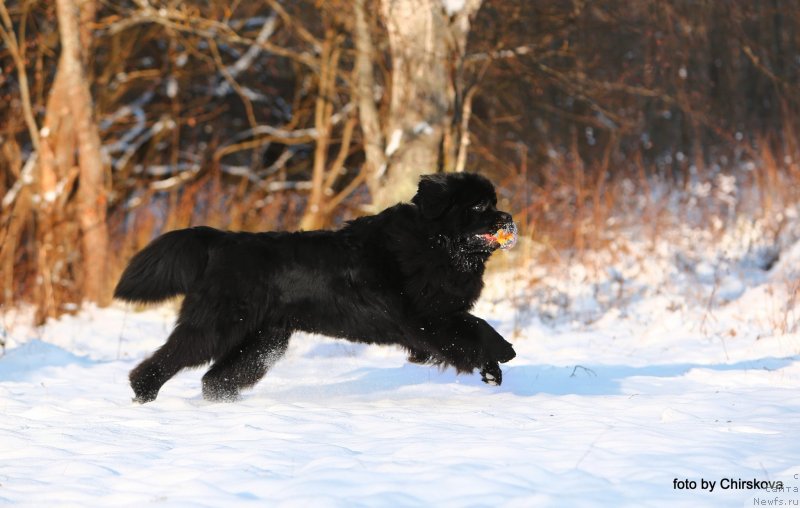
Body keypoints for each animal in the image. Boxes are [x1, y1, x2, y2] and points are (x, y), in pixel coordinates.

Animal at [114, 173, 520, 402]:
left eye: (495, 202)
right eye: (480, 206)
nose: (508, 217)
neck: (434, 243)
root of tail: (223, 240)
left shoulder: (438, 318)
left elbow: (471, 332)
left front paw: (492, 372)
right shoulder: (426, 319)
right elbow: (477, 329)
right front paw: (504, 352)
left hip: (264, 340)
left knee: (216, 379)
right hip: (217, 325)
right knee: (171, 357)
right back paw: (142, 394)